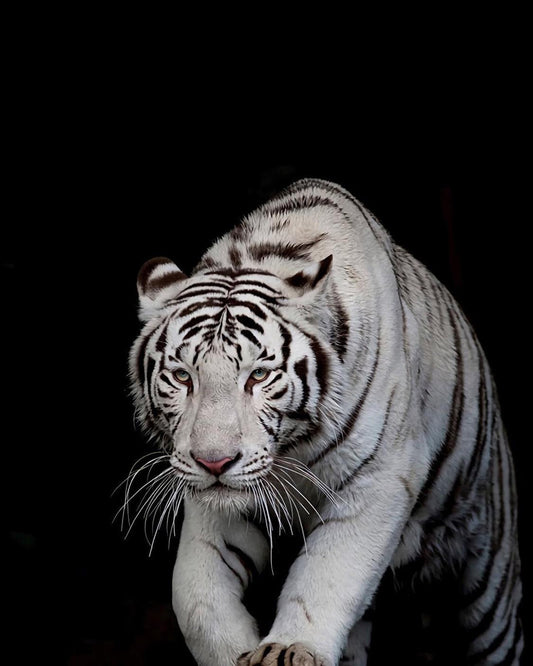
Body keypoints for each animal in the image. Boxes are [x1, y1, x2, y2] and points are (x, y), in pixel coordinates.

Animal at [128, 178, 523, 665]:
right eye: (183, 376)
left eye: (258, 375)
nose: (214, 462)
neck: (294, 447)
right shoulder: (214, 503)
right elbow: (196, 595)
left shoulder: (379, 480)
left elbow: (326, 576)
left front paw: (288, 649)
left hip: (487, 585)